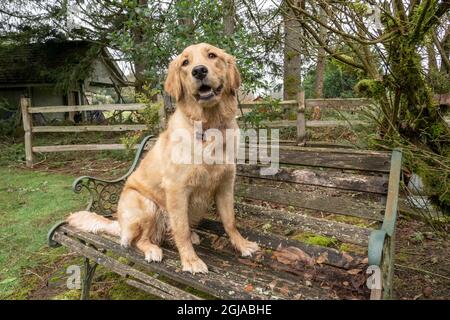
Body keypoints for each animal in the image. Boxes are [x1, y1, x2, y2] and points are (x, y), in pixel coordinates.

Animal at [65, 42, 258, 272]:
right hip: (146, 204)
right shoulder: (177, 189)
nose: (199, 71)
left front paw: (242, 245)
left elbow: (230, 222)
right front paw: (190, 261)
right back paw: (152, 250)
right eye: (185, 62)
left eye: (212, 55)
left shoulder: (225, 185)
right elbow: (180, 230)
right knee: (138, 240)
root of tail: (120, 223)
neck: (209, 126)